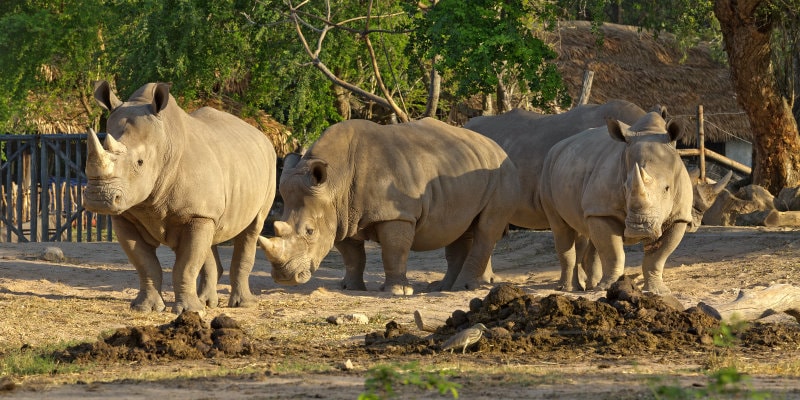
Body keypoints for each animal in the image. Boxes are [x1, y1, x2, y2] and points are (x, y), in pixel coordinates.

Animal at [84, 80, 276, 312]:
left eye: (140, 162)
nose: (98, 198)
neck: (164, 143)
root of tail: (262, 135)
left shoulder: (196, 214)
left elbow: (186, 266)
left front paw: (189, 311)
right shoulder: (126, 215)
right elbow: (145, 264)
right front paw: (145, 308)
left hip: (269, 165)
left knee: (252, 229)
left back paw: (242, 305)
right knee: (212, 235)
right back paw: (206, 303)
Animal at [255, 117, 520, 296]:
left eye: (310, 231)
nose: (285, 278)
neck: (335, 183)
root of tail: (499, 147)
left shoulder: (396, 214)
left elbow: (394, 251)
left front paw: (398, 292)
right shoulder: (341, 216)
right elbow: (352, 255)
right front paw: (351, 288)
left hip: (502, 173)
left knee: (486, 228)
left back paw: (463, 288)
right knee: (461, 229)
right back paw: (444, 287)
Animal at [536, 111, 692, 296]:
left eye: (667, 189)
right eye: (624, 187)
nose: (640, 229)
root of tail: (556, 147)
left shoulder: (679, 216)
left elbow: (657, 256)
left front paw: (658, 291)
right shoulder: (603, 211)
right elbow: (613, 253)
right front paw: (608, 288)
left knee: (586, 231)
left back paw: (590, 286)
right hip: (548, 170)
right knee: (562, 228)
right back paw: (569, 289)